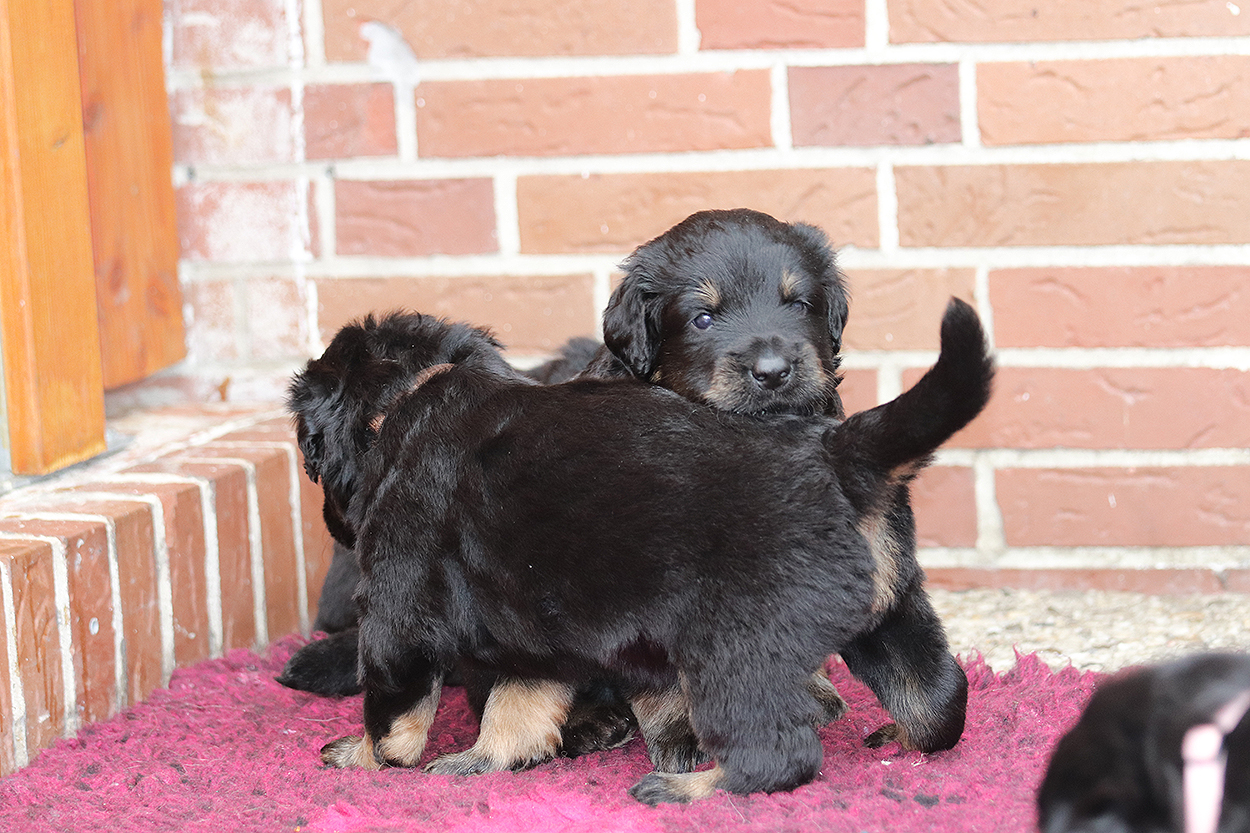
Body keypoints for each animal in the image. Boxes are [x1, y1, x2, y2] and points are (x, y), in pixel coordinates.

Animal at [292, 298, 990, 803]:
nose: (333, 525)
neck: (413, 396)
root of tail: (835, 452)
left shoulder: (398, 608)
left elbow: (394, 718)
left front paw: (362, 756)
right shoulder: (530, 612)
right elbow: (518, 701)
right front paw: (488, 760)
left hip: (729, 647)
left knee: (779, 755)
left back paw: (690, 789)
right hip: (888, 603)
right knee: (936, 695)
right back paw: (903, 734)